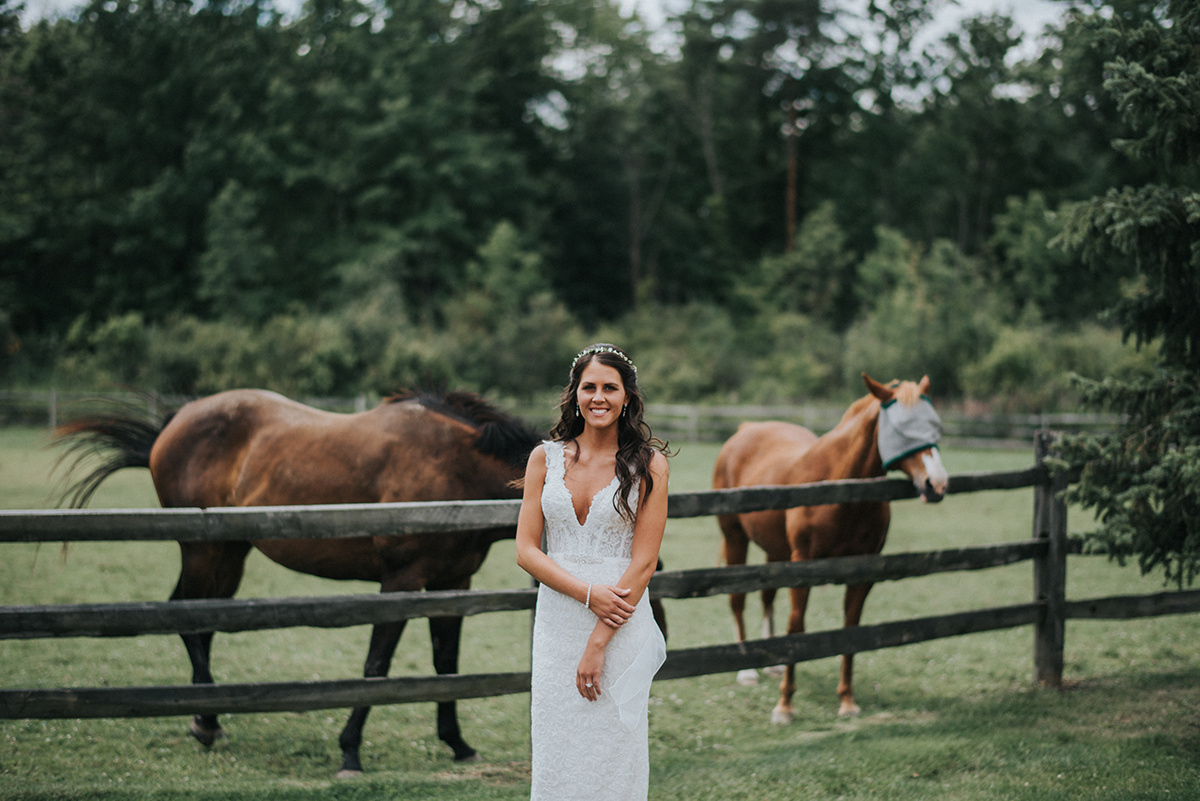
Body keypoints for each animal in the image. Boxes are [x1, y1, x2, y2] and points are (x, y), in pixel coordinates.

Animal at [56, 388, 542, 777]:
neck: (455, 469)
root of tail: (175, 421)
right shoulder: (401, 581)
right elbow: (376, 667)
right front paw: (350, 753)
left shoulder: (453, 581)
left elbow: (447, 664)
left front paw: (458, 744)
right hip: (201, 550)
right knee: (188, 619)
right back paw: (207, 722)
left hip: (229, 554)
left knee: (204, 622)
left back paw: (206, 717)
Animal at [710, 376, 945, 724]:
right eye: (902, 429)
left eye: (935, 425)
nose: (937, 484)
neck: (839, 487)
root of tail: (745, 429)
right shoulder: (802, 567)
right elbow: (797, 629)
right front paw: (785, 705)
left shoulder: (862, 573)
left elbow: (850, 628)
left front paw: (847, 701)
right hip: (735, 538)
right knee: (738, 600)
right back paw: (747, 671)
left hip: (775, 550)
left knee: (766, 597)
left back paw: (771, 664)